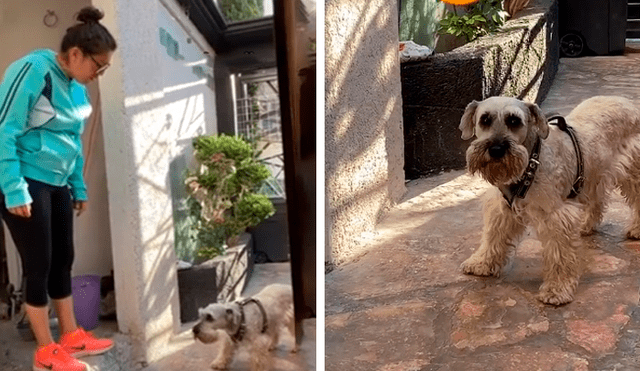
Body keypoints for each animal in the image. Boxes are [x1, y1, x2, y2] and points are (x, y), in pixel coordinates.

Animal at [460, 96, 640, 306]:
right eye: (485, 120)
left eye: (514, 120)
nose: (496, 149)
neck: (531, 162)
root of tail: (627, 102)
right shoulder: (502, 209)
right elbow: (492, 236)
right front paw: (481, 262)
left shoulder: (556, 216)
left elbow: (559, 255)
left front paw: (557, 289)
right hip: (594, 173)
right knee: (597, 199)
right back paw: (586, 225)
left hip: (631, 172)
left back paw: (636, 229)